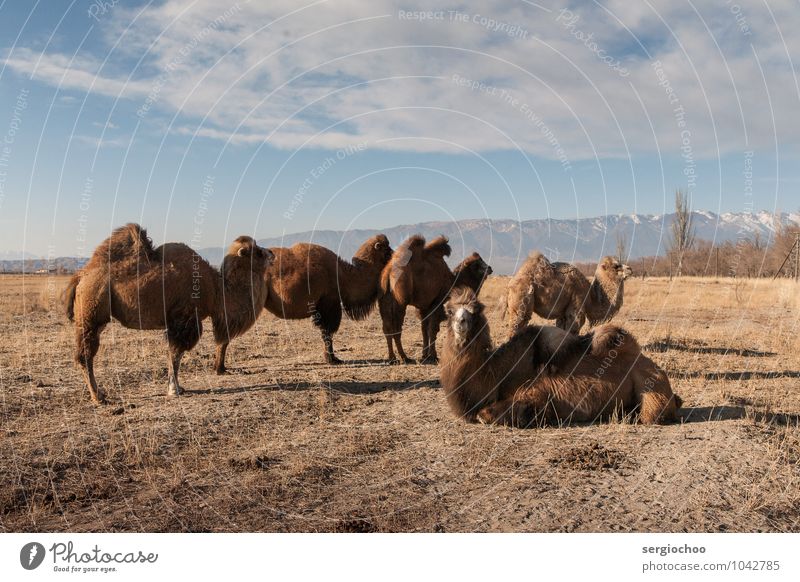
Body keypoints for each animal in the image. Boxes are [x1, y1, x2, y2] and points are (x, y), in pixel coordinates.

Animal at [63, 225, 276, 406]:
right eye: (257, 251)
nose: (272, 253)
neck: (216, 290)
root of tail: (81, 276)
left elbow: (175, 354)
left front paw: (177, 387)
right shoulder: (185, 319)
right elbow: (176, 353)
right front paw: (175, 389)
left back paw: (99, 393)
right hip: (90, 312)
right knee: (85, 355)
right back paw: (98, 397)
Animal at [214, 233, 392, 370]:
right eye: (387, 249)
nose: (395, 253)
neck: (345, 275)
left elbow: (325, 333)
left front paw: (331, 358)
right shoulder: (329, 303)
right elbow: (327, 333)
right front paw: (332, 359)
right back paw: (220, 368)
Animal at [378, 236, 490, 364]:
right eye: (477, 264)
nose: (490, 268)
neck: (454, 282)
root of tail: (388, 272)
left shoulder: (424, 309)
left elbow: (424, 331)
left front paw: (425, 355)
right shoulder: (436, 306)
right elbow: (432, 330)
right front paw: (433, 356)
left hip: (385, 301)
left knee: (387, 328)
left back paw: (393, 358)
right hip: (400, 303)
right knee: (396, 329)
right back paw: (404, 357)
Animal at [438, 288, 680, 428]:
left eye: (475, 311)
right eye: (449, 311)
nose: (461, 323)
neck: (497, 374)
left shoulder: (537, 393)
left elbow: (487, 414)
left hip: (652, 389)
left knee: (652, 414)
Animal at [500, 254, 632, 338]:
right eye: (616, 266)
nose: (630, 269)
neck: (590, 296)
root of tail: (509, 286)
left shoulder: (563, 313)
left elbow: (561, 329)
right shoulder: (577, 304)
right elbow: (574, 328)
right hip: (522, 298)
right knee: (516, 325)